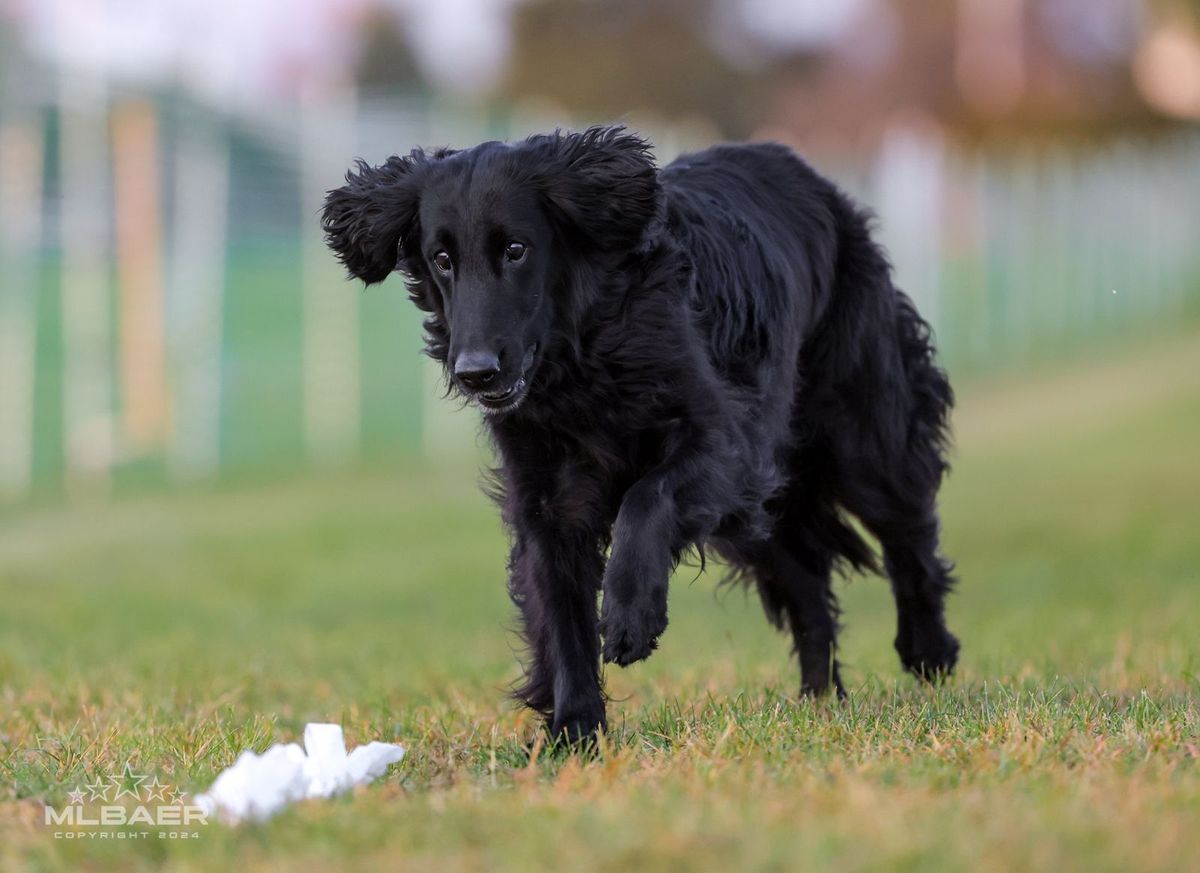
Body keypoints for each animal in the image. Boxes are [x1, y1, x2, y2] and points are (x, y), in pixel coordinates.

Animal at [324, 125, 960, 738]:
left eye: (516, 249)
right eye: (442, 258)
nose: (475, 372)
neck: (583, 358)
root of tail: (803, 172)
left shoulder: (723, 441)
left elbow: (646, 498)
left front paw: (631, 616)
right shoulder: (546, 496)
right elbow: (561, 613)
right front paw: (575, 731)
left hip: (861, 436)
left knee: (910, 536)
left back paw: (928, 650)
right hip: (764, 512)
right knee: (809, 589)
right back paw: (819, 703)